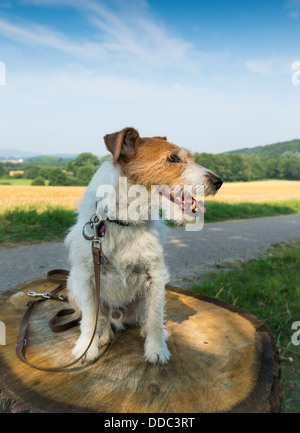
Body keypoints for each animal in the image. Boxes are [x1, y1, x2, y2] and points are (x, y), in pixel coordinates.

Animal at [65, 126, 223, 362]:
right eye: (173, 158)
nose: (219, 181)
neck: (125, 221)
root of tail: (119, 315)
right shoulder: (87, 278)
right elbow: (90, 318)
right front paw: (86, 348)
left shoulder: (155, 276)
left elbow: (155, 316)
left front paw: (156, 350)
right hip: (73, 284)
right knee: (102, 317)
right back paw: (103, 334)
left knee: (147, 315)